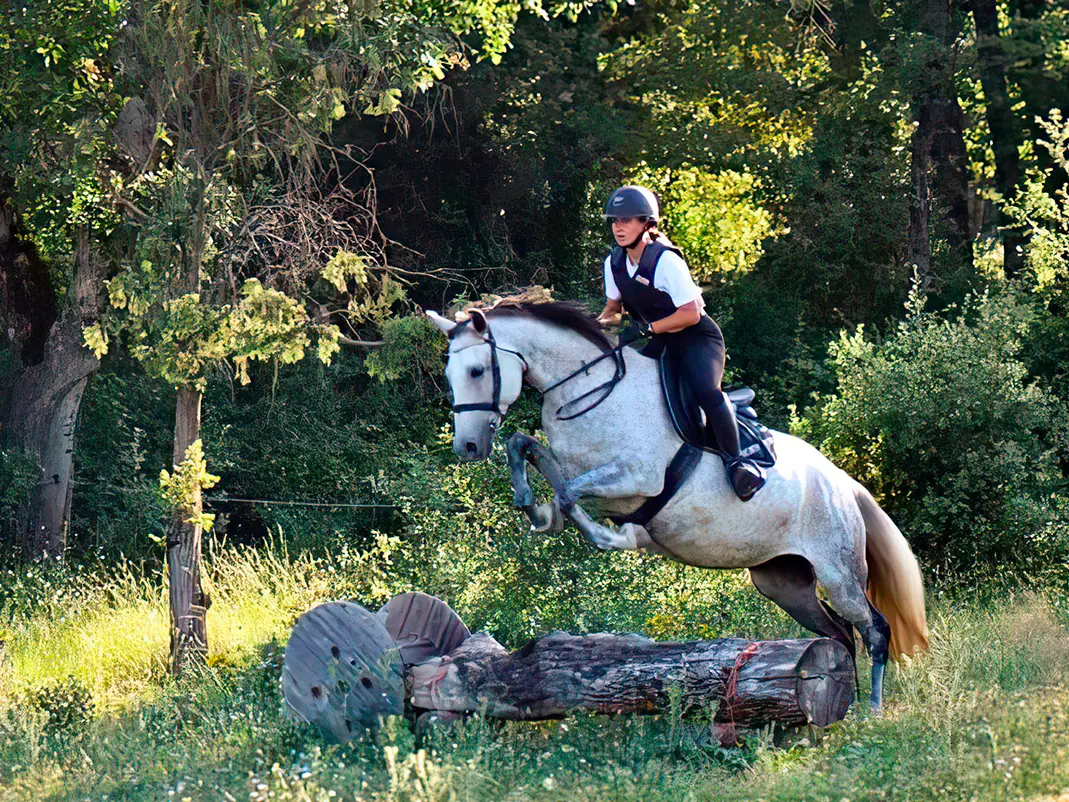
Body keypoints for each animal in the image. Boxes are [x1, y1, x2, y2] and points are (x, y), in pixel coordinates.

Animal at [425, 301, 927, 710]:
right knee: (839, 634)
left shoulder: (635, 477)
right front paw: (536, 509)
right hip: (784, 583)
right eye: (451, 375)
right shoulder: (581, 469)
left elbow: (570, 494)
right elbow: (526, 448)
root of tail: (844, 484)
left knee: (874, 629)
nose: (466, 447)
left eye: (476, 371)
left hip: (839, 573)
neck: (591, 394)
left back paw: (872, 709)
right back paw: (843, 703)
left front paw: (614, 533)